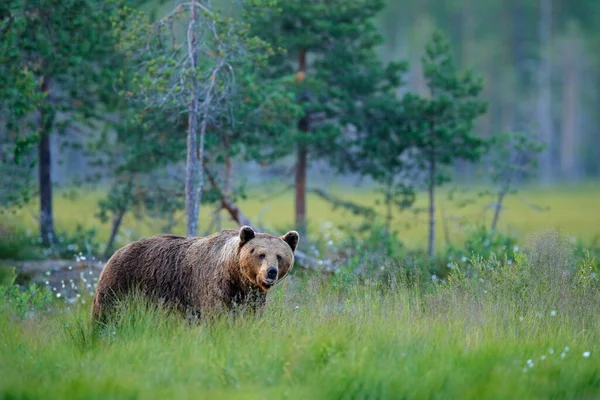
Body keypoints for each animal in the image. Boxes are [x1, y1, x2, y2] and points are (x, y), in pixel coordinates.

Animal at [92, 227, 300, 324]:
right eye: (260, 254)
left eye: (280, 256)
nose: (271, 271)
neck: (235, 276)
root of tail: (118, 250)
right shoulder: (213, 288)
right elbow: (217, 316)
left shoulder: (251, 297)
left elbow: (249, 316)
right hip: (122, 283)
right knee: (107, 313)